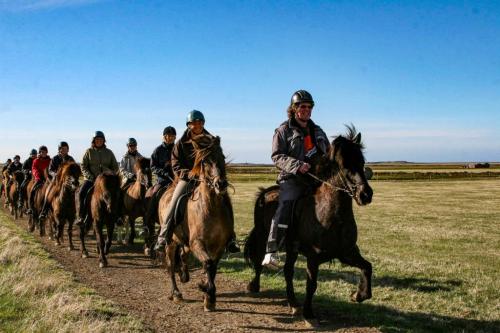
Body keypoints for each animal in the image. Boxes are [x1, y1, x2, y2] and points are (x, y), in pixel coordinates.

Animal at [159, 134, 235, 310]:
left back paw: (184, 276)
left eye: (222, 157)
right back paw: (176, 293)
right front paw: (207, 291)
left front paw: (209, 296)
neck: (211, 208)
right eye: (205, 161)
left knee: (182, 255)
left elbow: (213, 267)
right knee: (170, 264)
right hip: (171, 241)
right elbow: (208, 264)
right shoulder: (197, 243)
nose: (221, 184)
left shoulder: (219, 246)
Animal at [244, 124, 374, 324]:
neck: (332, 215)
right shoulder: (314, 257)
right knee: (259, 260)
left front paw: (358, 295)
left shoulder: (347, 253)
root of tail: (265, 193)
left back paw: (293, 304)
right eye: (344, 165)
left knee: (287, 272)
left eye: (361, 161)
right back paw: (255, 286)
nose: (365, 194)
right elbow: (311, 284)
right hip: (262, 236)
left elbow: (367, 267)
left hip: (291, 249)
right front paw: (309, 313)